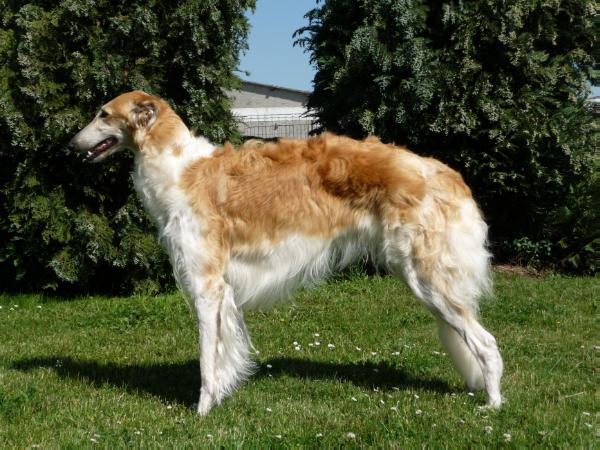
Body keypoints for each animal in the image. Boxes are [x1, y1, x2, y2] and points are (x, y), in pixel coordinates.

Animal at [69, 90, 502, 414]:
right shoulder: (222, 291)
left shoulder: (207, 285)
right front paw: (222, 397)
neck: (181, 170)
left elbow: (208, 362)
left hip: (425, 276)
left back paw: (493, 406)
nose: (70, 146)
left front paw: (202, 412)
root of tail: (442, 171)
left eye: (102, 114)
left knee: (488, 345)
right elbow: (223, 355)